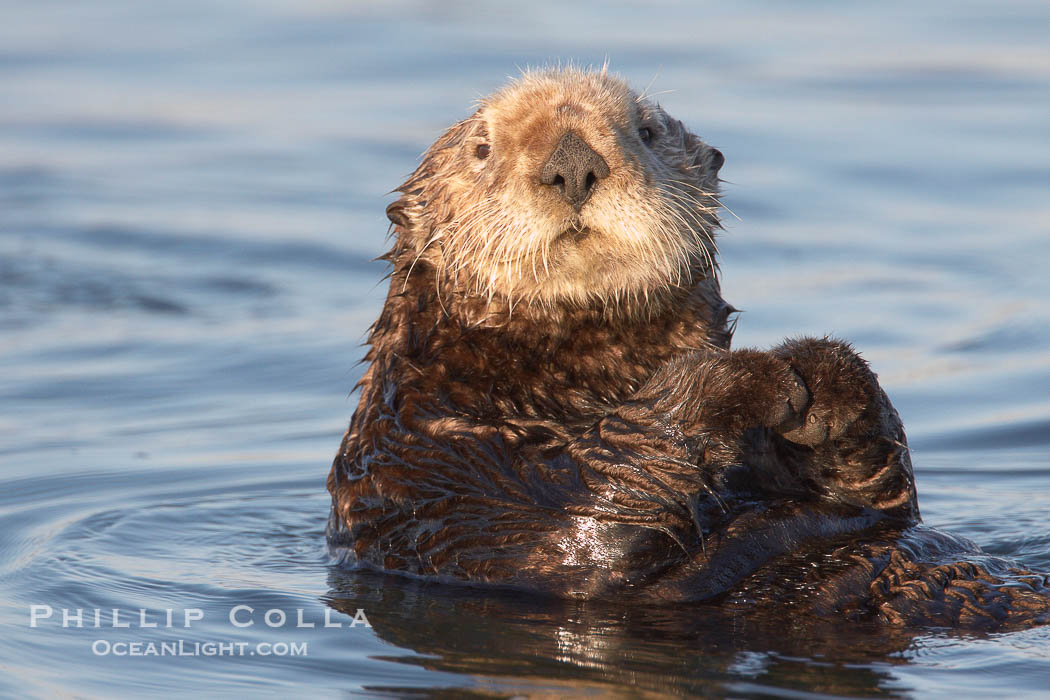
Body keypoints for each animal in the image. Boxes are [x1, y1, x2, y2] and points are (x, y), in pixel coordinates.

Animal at [327, 67, 1050, 628]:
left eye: (647, 131)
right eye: (481, 149)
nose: (573, 165)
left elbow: (884, 499)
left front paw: (825, 378)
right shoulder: (430, 479)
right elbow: (589, 521)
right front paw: (754, 380)